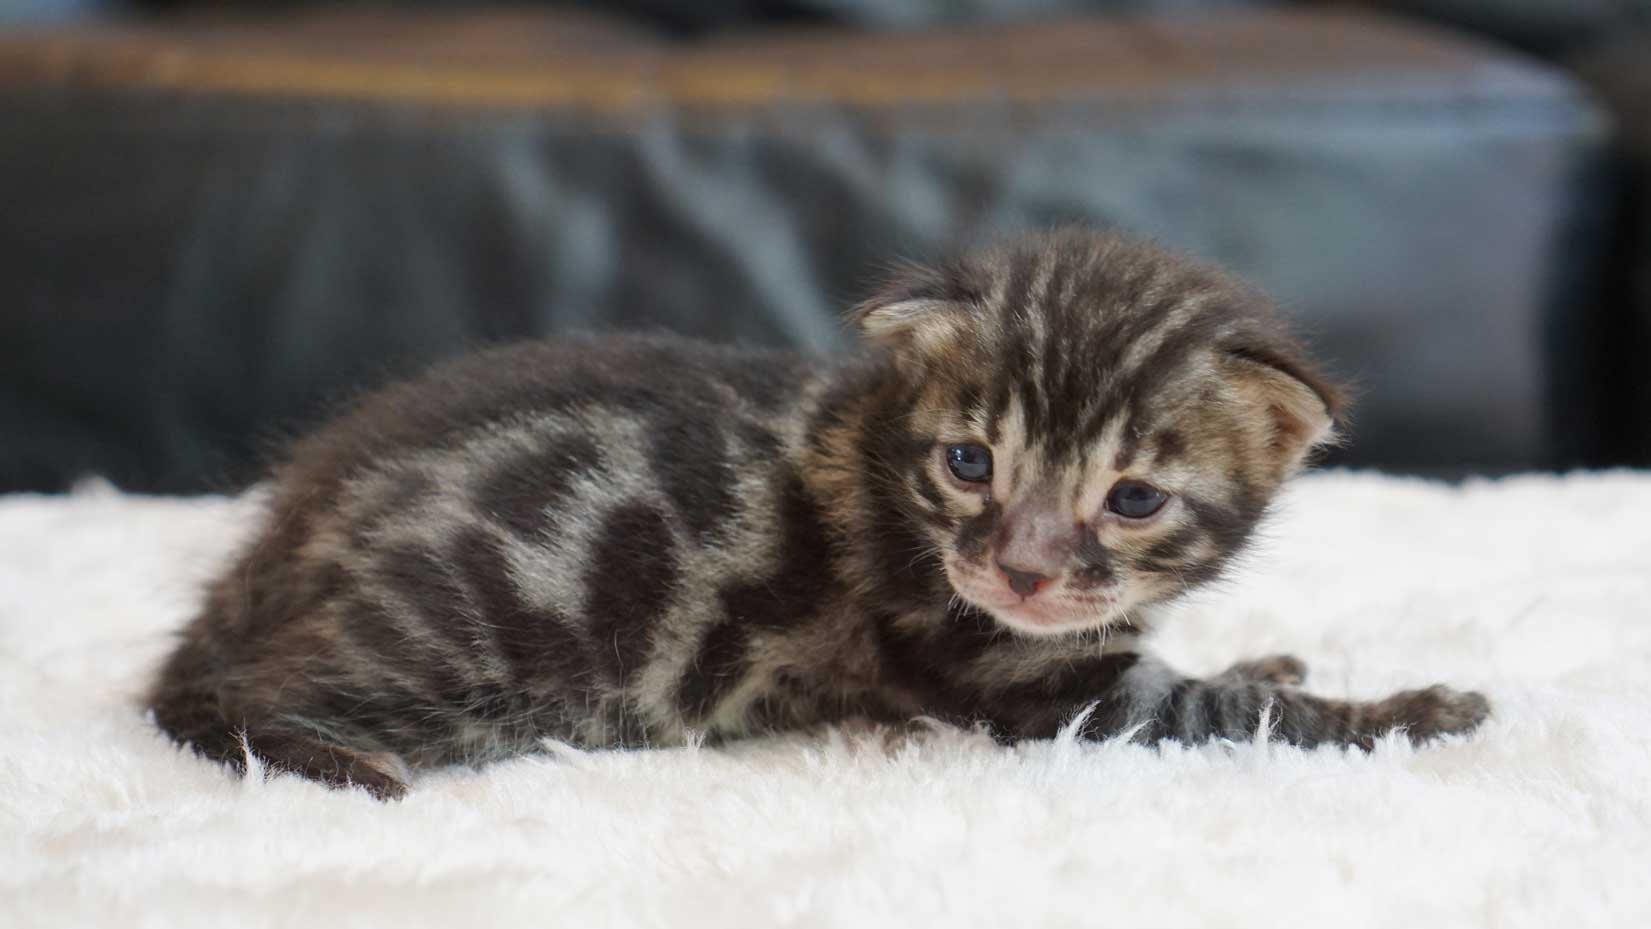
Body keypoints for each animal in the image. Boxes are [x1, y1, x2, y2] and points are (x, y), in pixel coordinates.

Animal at [151, 227, 1499, 798]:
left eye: (1131, 498)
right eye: (969, 462)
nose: (1019, 571)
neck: (876, 447)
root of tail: (286, 535)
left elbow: (1213, 666)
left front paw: (1269, 650)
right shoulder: (1033, 687)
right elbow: (1236, 711)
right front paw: (1415, 709)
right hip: (460, 649)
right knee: (226, 702)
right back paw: (333, 759)